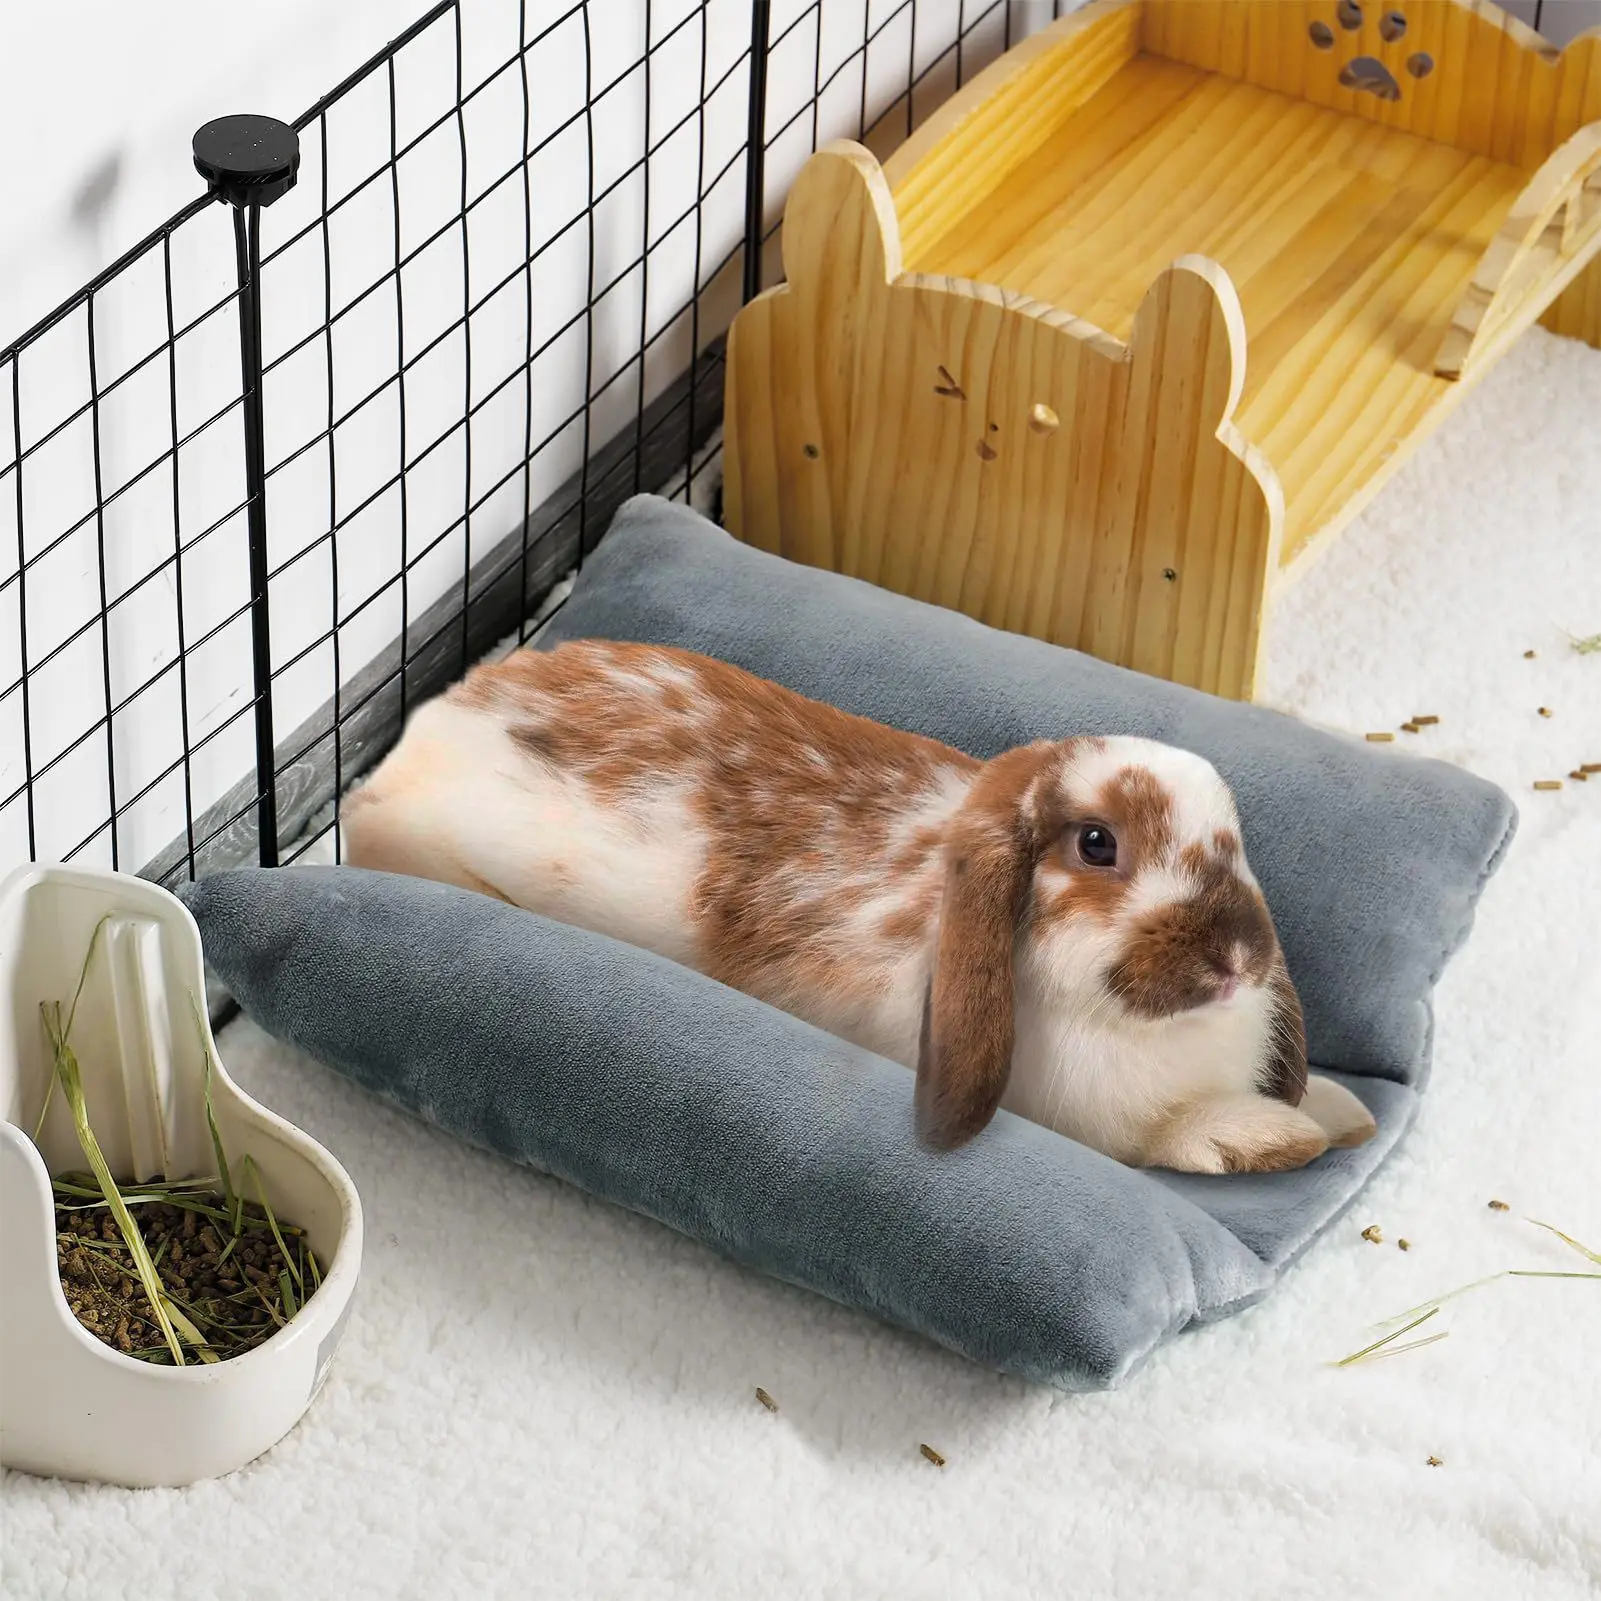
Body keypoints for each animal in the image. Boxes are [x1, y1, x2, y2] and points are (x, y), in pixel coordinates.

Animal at [342, 639, 1377, 1172]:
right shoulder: (1098, 1124)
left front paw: (1341, 1110)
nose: (1236, 959)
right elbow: (1172, 1137)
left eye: (1233, 838)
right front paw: (1268, 1135)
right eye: (1096, 844)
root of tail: (433, 726)